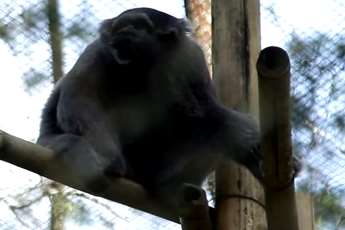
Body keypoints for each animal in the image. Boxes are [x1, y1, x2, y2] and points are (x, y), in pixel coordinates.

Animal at [37, 8, 260, 208]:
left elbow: (208, 110)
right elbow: (80, 98)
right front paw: (109, 159)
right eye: (120, 25)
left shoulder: (190, 55)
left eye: (138, 25)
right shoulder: (97, 51)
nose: (124, 29)